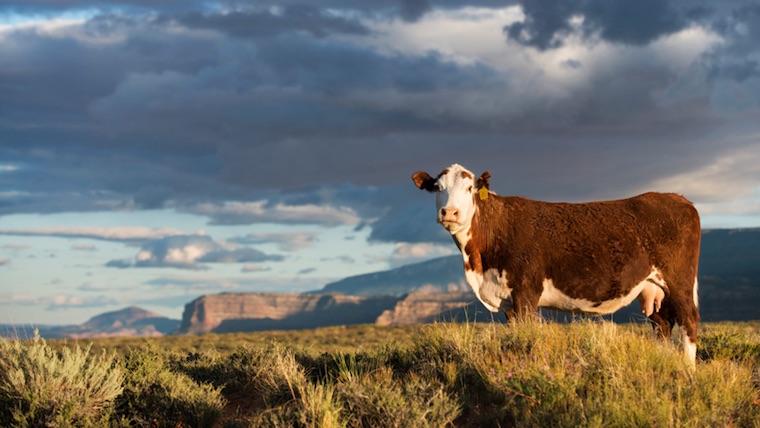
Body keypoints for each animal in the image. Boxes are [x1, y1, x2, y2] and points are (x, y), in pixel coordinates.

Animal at [412, 164, 701, 363]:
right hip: (653, 287)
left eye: (470, 188)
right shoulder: (508, 300)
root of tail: (679, 198)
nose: (450, 212)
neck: (480, 263)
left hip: (679, 280)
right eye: (437, 188)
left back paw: (687, 370)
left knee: (689, 319)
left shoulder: (526, 291)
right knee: (662, 323)